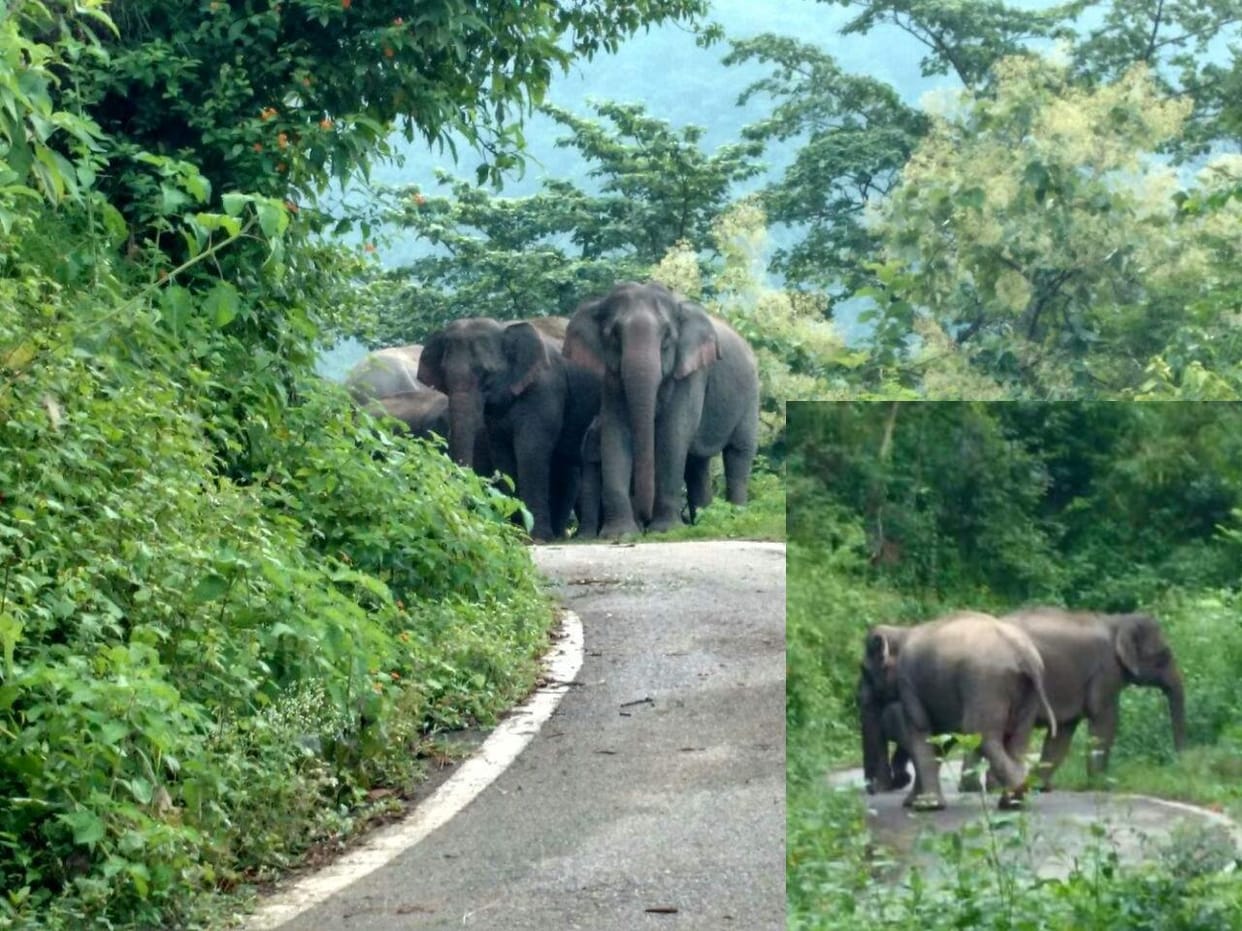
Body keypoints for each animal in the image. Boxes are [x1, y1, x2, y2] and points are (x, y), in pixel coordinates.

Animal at [417, 316, 600, 541]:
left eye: (486, 373)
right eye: (444, 373)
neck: (504, 327)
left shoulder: (544, 389)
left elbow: (529, 450)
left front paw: (536, 537)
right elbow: (502, 455)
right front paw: (516, 535)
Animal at [563, 281, 759, 537]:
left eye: (667, 337)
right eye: (614, 335)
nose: (644, 521)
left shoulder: (690, 373)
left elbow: (673, 435)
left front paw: (665, 531)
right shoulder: (611, 379)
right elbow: (615, 434)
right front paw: (620, 535)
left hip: (751, 395)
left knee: (738, 452)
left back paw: (736, 519)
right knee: (697, 464)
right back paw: (703, 522)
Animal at [861, 611, 1057, 811]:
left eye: (864, 671)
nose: (874, 789)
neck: (901, 632)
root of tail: (1024, 655)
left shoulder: (908, 682)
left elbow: (921, 730)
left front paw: (927, 806)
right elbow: (941, 738)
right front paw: (914, 803)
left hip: (985, 685)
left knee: (982, 736)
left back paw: (1017, 796)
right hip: (1027, 695)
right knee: (1017, 741)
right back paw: (1014, 802)